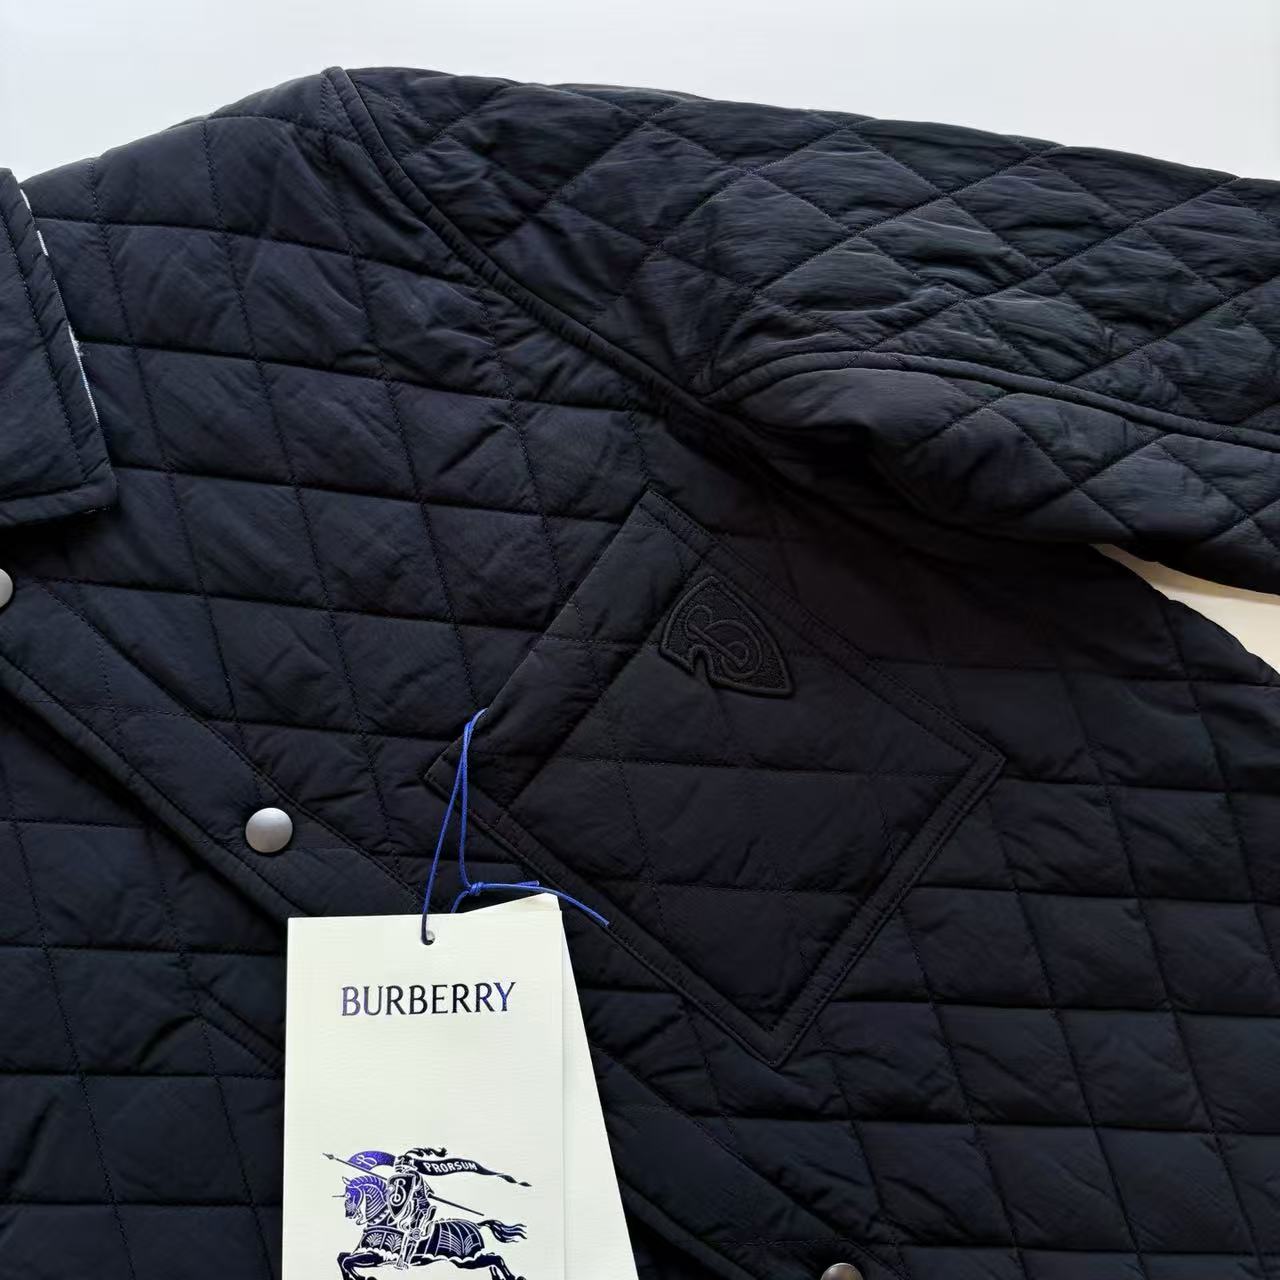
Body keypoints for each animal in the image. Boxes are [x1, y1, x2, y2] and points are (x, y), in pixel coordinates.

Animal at [337, 1174, 527, 1280]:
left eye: (350, 1195)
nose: (349, 1214)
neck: (385, 1220)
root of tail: (477, 1225)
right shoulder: (366, 1253)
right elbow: (342, 1258)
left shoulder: (378, 1256)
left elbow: (346, 1261)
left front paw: (362, 1278)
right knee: (494, 1258)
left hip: (466, 1260)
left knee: (496, 1259)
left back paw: (513, 1277)